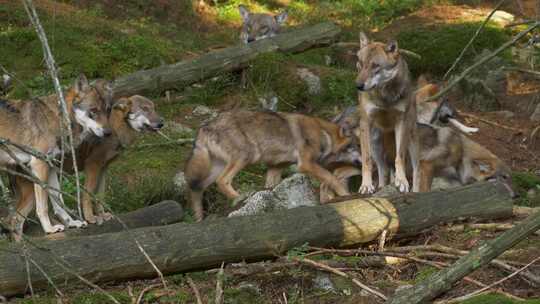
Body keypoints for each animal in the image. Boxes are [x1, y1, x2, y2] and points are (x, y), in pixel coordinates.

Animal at [0, 73, 110, 238]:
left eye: (107, 110)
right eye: (93, 111)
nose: (108, 133)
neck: (57, 117)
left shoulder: (51, 165)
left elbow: (58, 200)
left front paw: (71, 223)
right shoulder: (39, 164)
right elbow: (44, 206)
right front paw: (49, 229)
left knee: (15, 222)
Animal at [356, 32, 420, 194]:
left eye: (375, 66)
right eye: (360, 63)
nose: (358, 86)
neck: (384, 96)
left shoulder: (401, 122)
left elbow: (400, 157)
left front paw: (402, 181)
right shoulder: (365, 123)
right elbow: (366, 160)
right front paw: (366, 185)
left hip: (412, 140)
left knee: (417, 170)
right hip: (375, 142)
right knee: (382, 168)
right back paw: (380, 186)